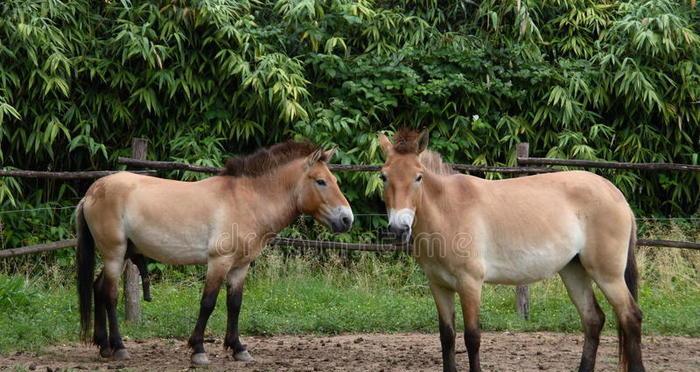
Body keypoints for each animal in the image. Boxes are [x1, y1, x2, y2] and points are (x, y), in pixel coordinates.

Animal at [76, 142, 352, 366]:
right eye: (320, 181)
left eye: (336, 180)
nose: (347, 219)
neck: (246, 200)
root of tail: (93, 191)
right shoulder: (219, 262)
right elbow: (208, 303)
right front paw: (198, 350)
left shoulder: (240, 266)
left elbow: (235, 304)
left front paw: (238, 349)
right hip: (114, 253)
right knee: (110, 295)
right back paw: (119, 348)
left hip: (121, 255)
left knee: (98, 288)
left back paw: (104, 347)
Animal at [378, 129, 644, 372]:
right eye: (383, 176)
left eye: (418, 177)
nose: (399, 228)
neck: (448, 210)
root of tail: (615, 193)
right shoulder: (439, 286)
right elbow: (447, 337)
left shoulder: (469, 283)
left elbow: (472, 338)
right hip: (574, 271)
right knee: (593, 320)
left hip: (608, 275)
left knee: (630, 317)